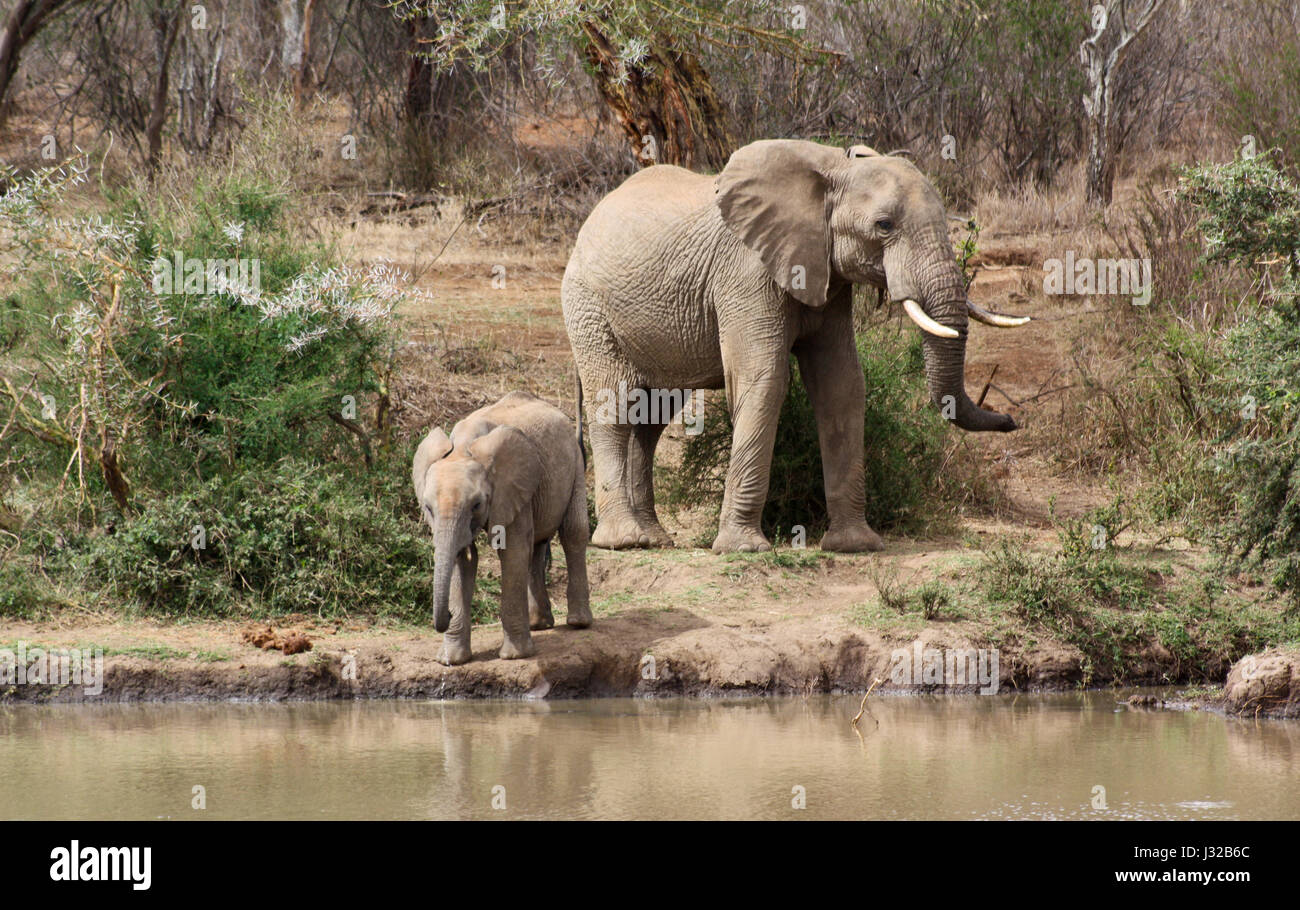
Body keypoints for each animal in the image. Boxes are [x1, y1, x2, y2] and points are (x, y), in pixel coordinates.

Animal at [408, 387, 592, 665]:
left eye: (476, 504)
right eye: (428, 508)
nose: (446, 615)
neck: (464, 446)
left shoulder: (511, 486)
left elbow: (511, 550)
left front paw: (515, 656)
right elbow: (464, 559)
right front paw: (451, 660)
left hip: (575, 461)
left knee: (573, 531)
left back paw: (579, 623)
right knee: (537, 544)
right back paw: (539, 625)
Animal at [564, 140, 1029, 553]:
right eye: (884, 226)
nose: (1011, 421)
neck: (833, 168)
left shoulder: (829, 276)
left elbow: (842, 385)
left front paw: (855, 546)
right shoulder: (746, 271)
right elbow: (765, 381)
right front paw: (743, 549)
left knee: (652, 415)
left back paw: (654, 539)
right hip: (588, 307)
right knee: (615, 404)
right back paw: (624, 541)